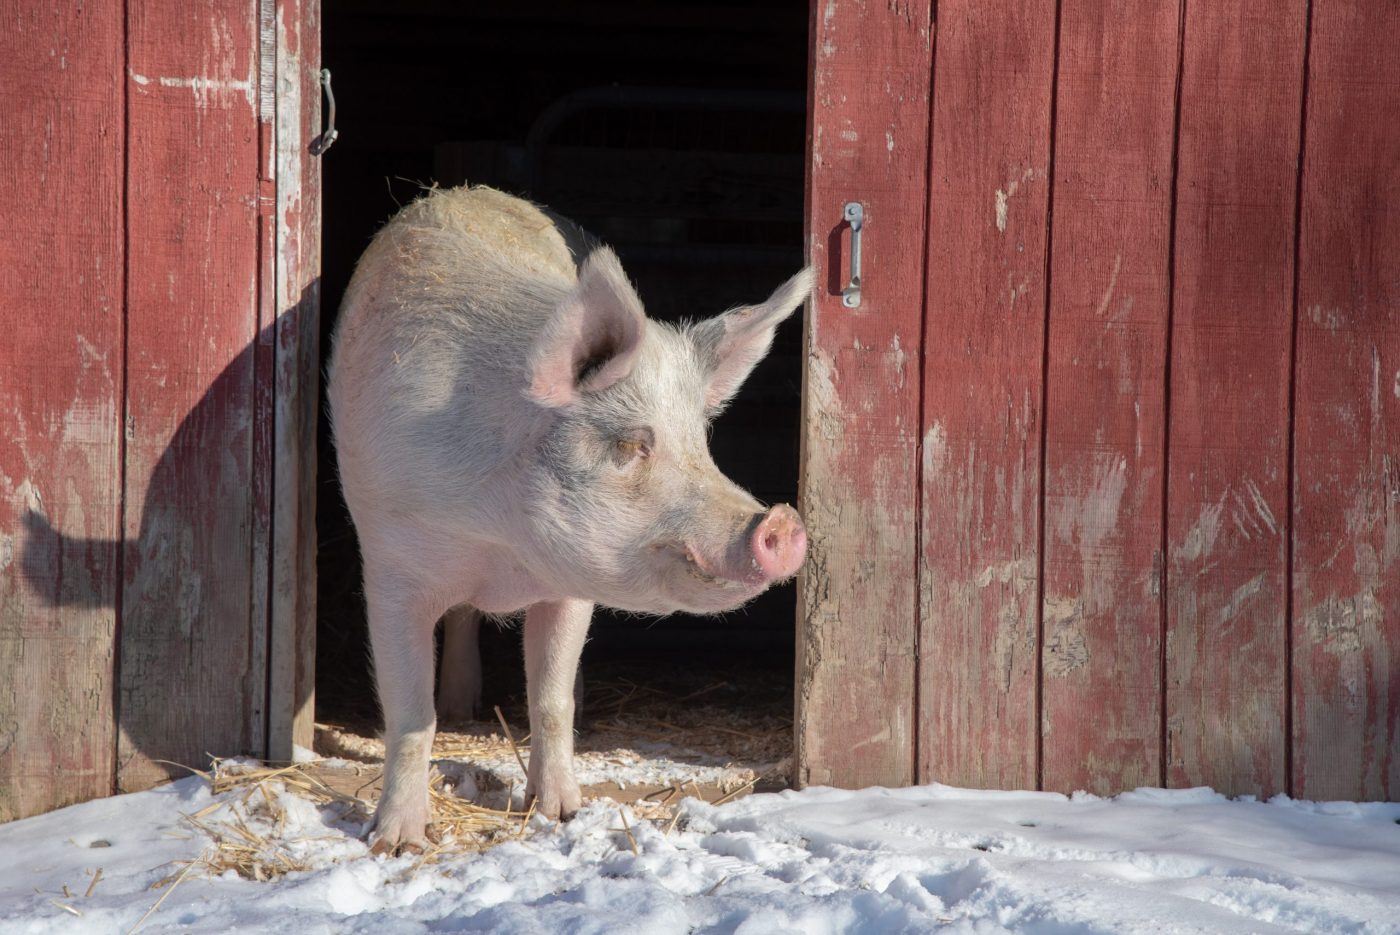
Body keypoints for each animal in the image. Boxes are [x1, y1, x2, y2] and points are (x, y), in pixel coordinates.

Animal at [326, 184, 812, 856]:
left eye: (701, 441)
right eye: (631, 444)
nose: (782, 526)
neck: (500, 542)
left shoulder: (572, 585)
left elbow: (551, 699)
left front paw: (561, 815)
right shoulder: (390, 561)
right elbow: (410, 715)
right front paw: (396, 843)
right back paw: (461, 708)